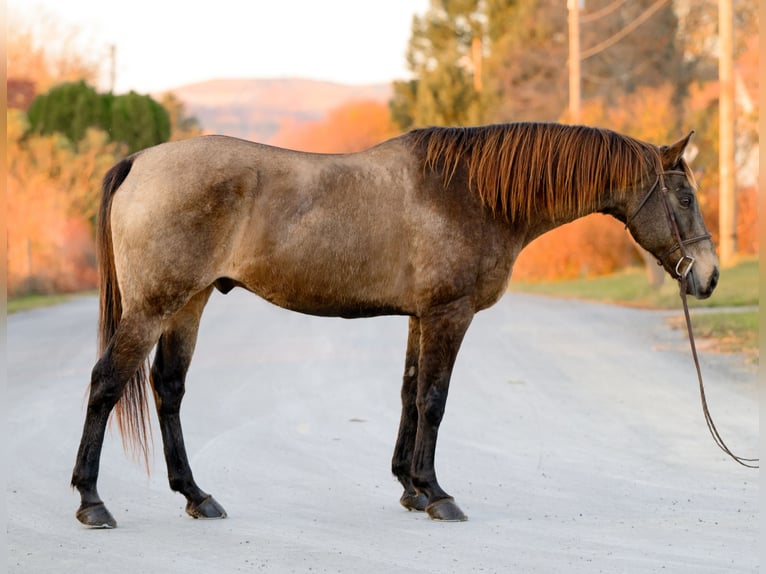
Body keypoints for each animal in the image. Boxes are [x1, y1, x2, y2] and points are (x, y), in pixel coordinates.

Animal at [70, 124, 720, 528]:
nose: (709, 277)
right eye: (686, 198)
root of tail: (140, 162)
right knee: (106, 383)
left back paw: (197, 497)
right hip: (156, 305)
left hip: (190, 303)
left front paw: (409, 487)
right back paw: (92, 501)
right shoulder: (449, 315)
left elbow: (409, 395)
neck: (472, 193)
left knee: (168, 389)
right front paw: (438, 495)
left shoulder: (420, 318)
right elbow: (434, 399)